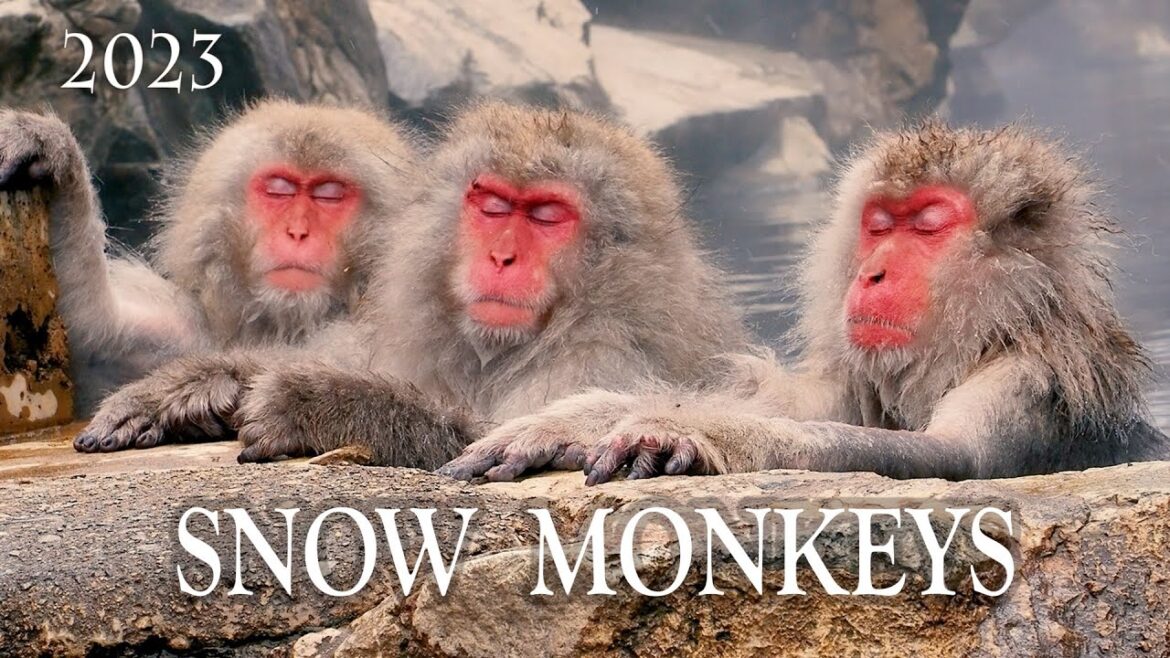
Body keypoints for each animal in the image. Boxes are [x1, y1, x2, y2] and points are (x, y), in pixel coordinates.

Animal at [0, 100, 418, 419]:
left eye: (329, 195)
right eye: (279, 190)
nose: (298, 232)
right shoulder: (184, 335)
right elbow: (92, 331)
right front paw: (50, 152)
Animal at [71, 100, 750, 464]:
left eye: (548, 216)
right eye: (493, 206)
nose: (501, 257)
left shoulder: (605, 356)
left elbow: (479, 449)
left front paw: (310, 403)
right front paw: (194, 388)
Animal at [438, 120, 1170, 484]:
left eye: (927, 227)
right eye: (881, 224)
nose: (871, 274)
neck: (989, 335)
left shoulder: (1026, 382)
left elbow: (952, 456)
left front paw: (690, 434)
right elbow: (785, 403)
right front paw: (570, 421)